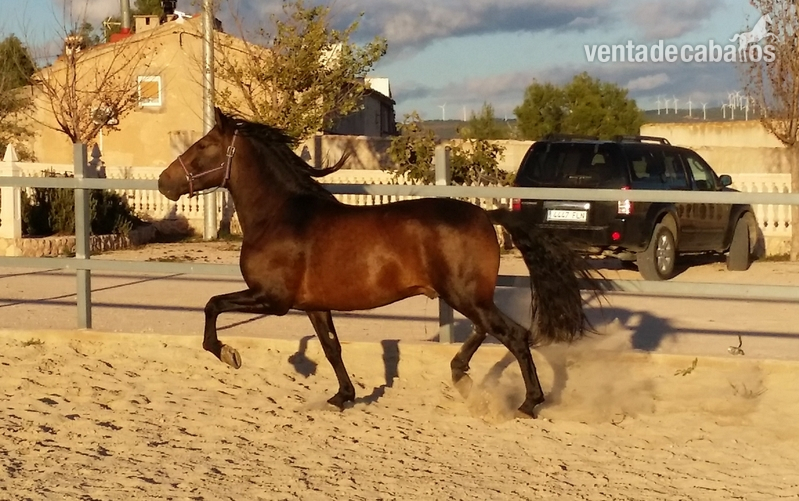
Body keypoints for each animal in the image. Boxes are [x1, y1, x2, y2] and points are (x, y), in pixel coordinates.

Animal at [157, 108, 602, 418]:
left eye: (204, 146)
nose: (164, 182)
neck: (281, 215)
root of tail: (485, 214)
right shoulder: (314, 305)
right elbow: (332, 348)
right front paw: (342, 396)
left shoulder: (272, 298)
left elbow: (212, 305)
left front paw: (228, 354)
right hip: (468, 296)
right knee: (489, 331)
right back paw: (460, 372)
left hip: (464, 295)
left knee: (515, 335)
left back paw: (528, 403)